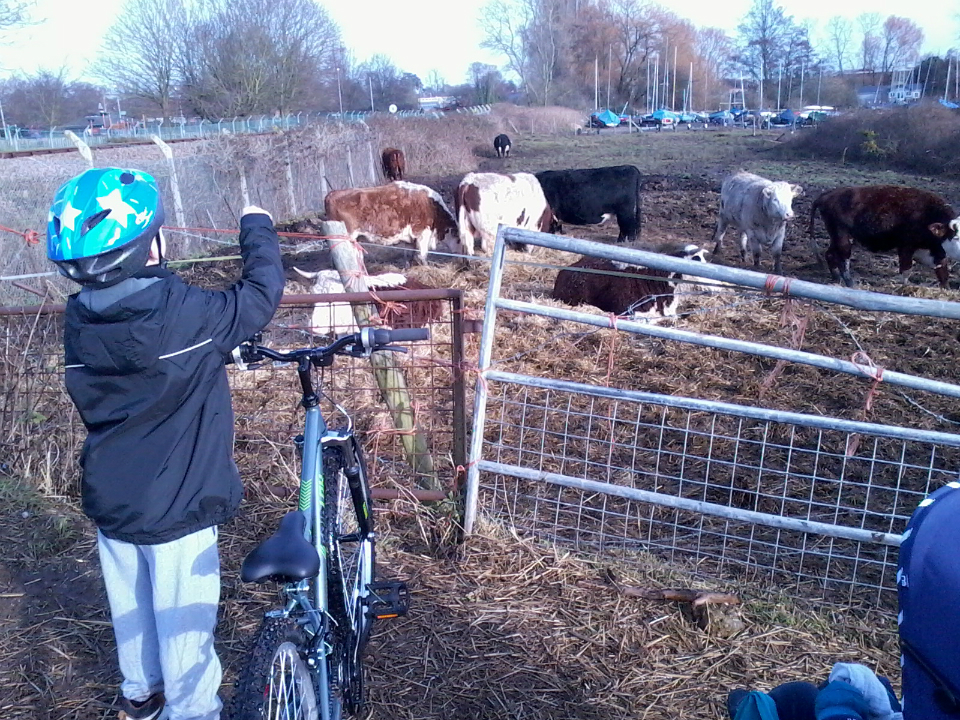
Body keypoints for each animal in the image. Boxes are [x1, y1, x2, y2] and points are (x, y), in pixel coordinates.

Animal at [324, 181, 461, 263]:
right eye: (460, 239)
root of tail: (332, 194)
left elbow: (413, 255)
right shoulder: (422, 233)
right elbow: (421, 256)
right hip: (345, 236)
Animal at [808, 185, 960, 288]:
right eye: (955, 237)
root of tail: (829, 194)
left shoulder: (936, 253)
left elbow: (943, 272)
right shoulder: (906, 246)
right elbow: (906, 270)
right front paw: (904, 289)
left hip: (835, 237)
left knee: (830, 254)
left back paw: (836, 278)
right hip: (842, 237)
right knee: (843, 260)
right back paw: (850, 282)